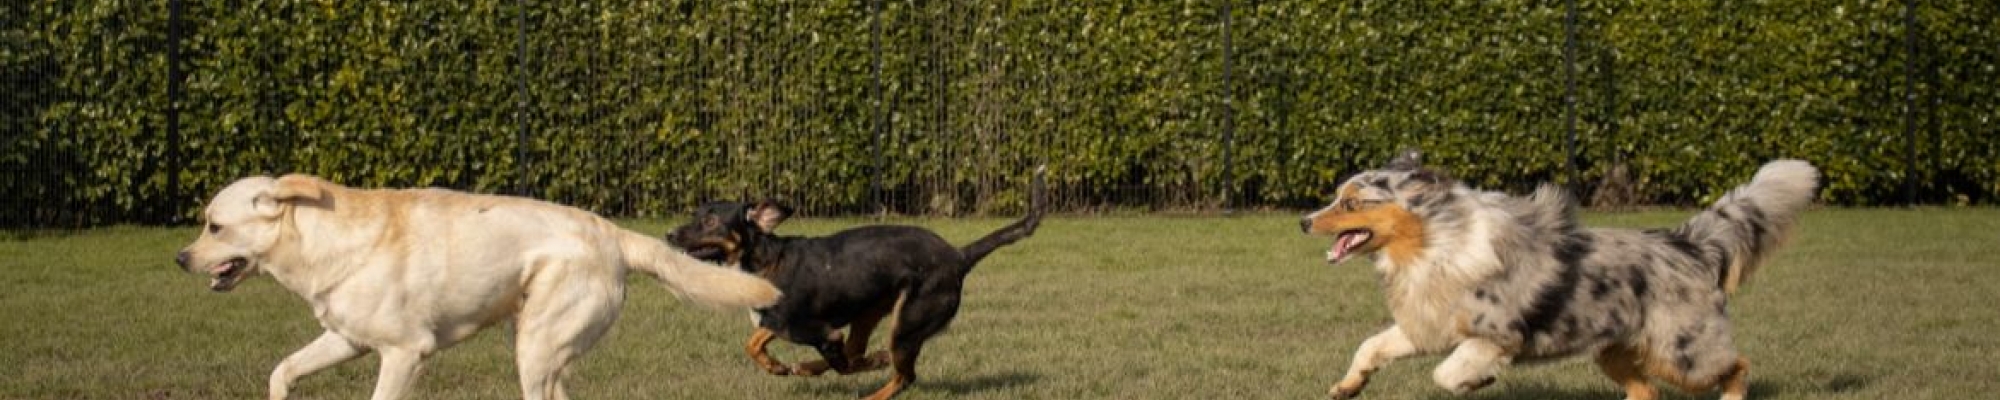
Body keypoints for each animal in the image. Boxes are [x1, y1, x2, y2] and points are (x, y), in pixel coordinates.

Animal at [175, 174, 781, 400]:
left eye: (214, 226)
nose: (181, 258)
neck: (321, 241)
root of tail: (610, 232)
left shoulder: (403, 353)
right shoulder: (347, 340)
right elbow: (283, 371)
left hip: (534, 352)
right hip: (543, 351)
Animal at [666, 167, 1045, 400]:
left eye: (711, 221)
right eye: (695, 215)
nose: (668, 234)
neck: (762, 260)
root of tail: (959, 255)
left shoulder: (820, 332)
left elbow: (844, 363)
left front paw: (869, 363)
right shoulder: (780, 322)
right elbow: (754, 343)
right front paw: (777, 366)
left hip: (906, 325)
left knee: (901, 375)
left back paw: (870, 389)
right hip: (870, 311)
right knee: (859, 352)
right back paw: (808, 367)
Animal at [1301, 151, 1817, 400]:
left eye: (1350, 203)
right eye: (1337, 197)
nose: (1303, 221)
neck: (1435, 243)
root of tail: (1689, 244)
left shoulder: (1496, 336)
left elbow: (1446, 374)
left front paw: (1477, 382)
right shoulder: (1427, 324)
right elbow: (1370, 347)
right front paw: (1348, 387)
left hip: (1683, 354)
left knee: (1737, 366)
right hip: (1615, 353)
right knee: (1647, 390)